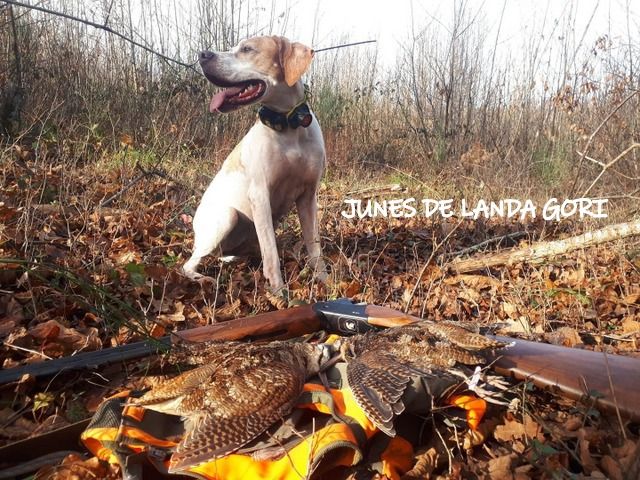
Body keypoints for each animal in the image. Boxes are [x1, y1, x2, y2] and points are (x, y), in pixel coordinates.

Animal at [182, 34, 328, 292]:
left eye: (247, 49)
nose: (203, 54)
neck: (289, 127)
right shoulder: (260, 196)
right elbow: (271, 255)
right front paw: (279, 292)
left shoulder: (308, 196)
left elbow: (315, 248)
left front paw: (325, 281)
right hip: (227, 216)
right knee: (189, 263)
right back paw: (202, 278)